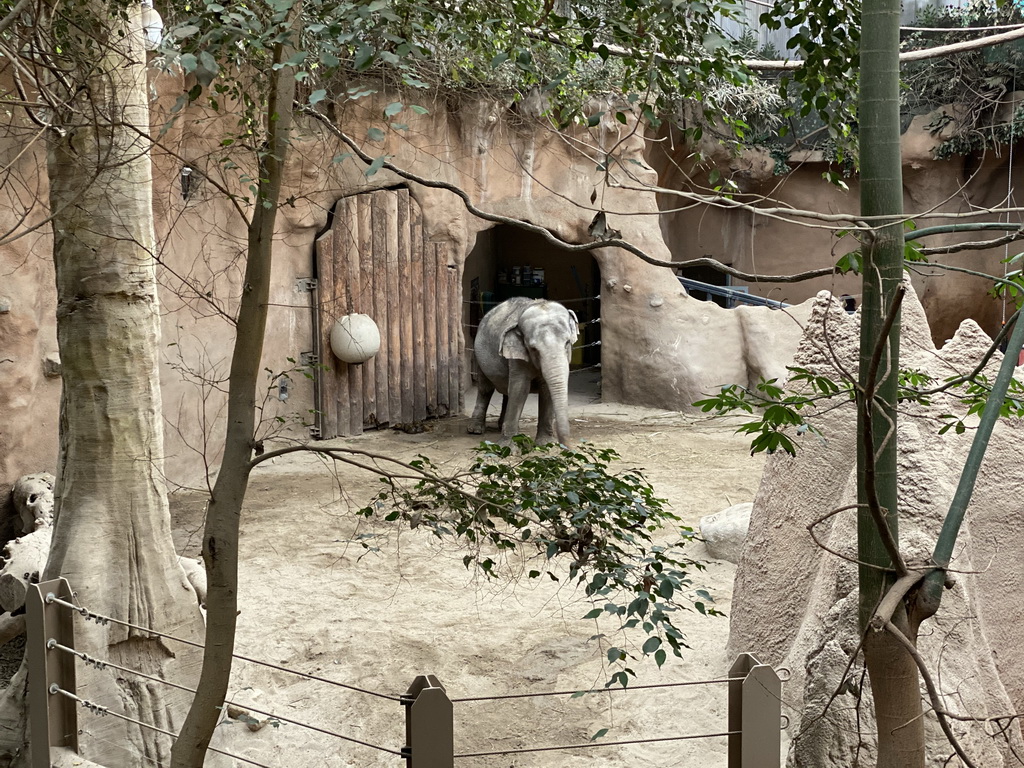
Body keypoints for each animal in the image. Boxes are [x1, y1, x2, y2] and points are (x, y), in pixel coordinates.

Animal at [468, 299, 581, 448]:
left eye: (567, 342)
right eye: (533, 349)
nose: (568, 448)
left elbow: (546, 389)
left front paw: (546, 444)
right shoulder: (517, 357)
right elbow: (520, 389)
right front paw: (507, 447)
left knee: (506, 391)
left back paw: (502, 426)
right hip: (478, 355)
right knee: (485, 389)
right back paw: (475, 430)